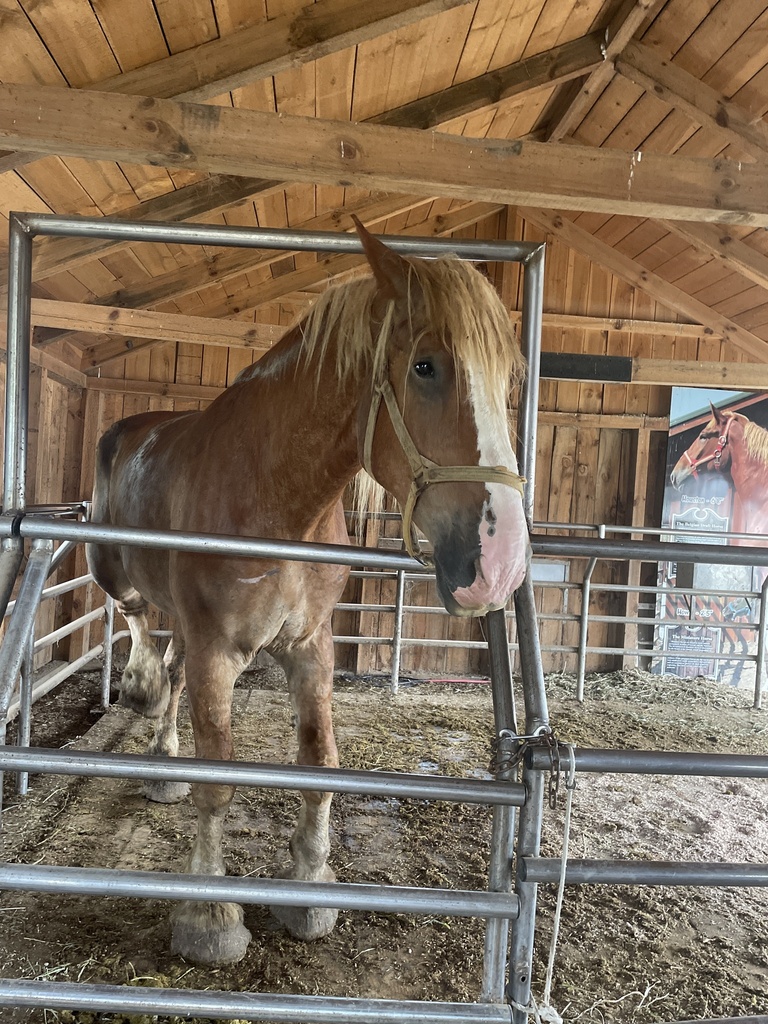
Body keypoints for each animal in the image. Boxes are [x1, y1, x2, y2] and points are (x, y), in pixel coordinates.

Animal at [85, 220, 531, 966]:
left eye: (510, 380)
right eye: (425, 367)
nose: (499, 564)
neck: (275, 495)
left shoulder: (311, 646)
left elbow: (320, 762)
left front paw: (311, 885)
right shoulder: (216, 652)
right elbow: (218, 775)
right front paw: (208, 916)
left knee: (168, 666)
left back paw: (163, 763)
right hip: (115, 573)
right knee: (139, 625)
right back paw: (142, 692)